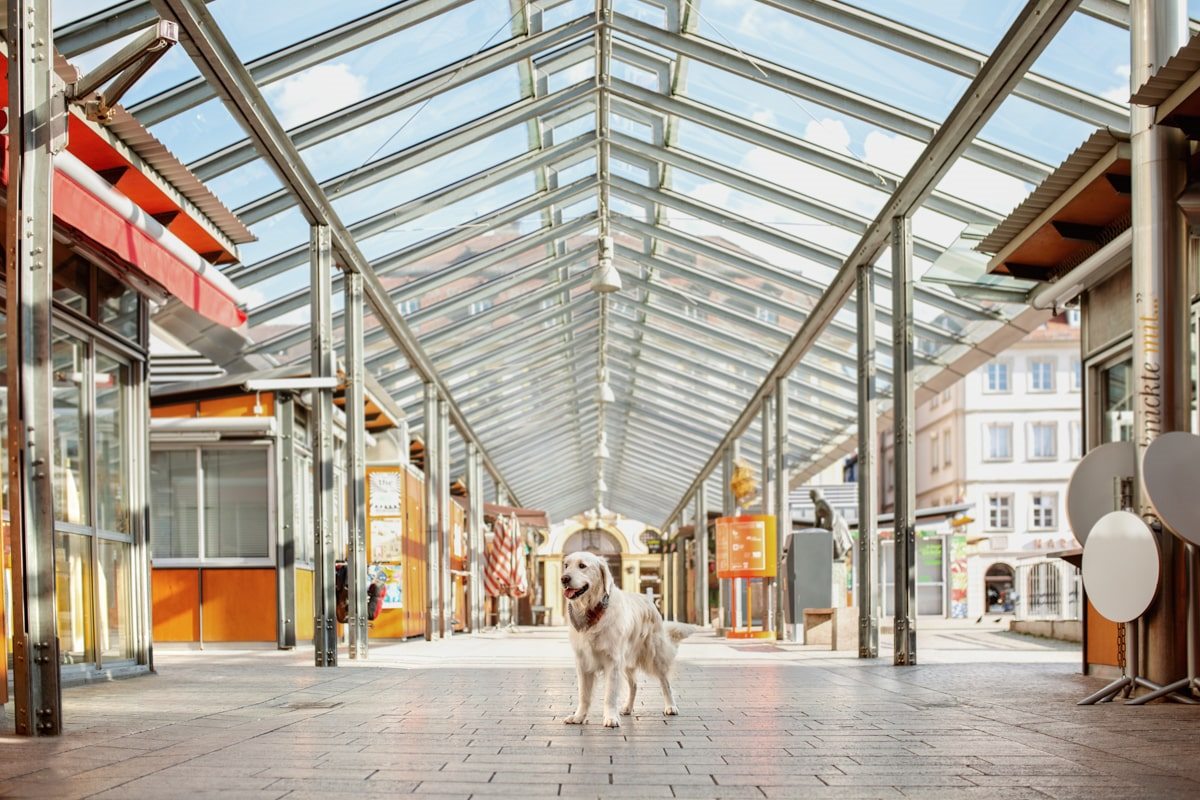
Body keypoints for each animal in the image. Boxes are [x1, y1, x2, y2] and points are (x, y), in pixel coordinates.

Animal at [559, 551, 696, 724]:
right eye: (566, 565)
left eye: (582, 565)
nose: (564, 578)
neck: (591, 610)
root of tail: (648, 599)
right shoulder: (583, 661)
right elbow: (584, 695)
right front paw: (578, 717)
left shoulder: (613, 660)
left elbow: (610, 694)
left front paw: (610, 718)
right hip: (627, 662)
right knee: (634, 685)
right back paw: (627, 708)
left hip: (654, 655)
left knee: (665, 682)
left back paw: (671, 706)